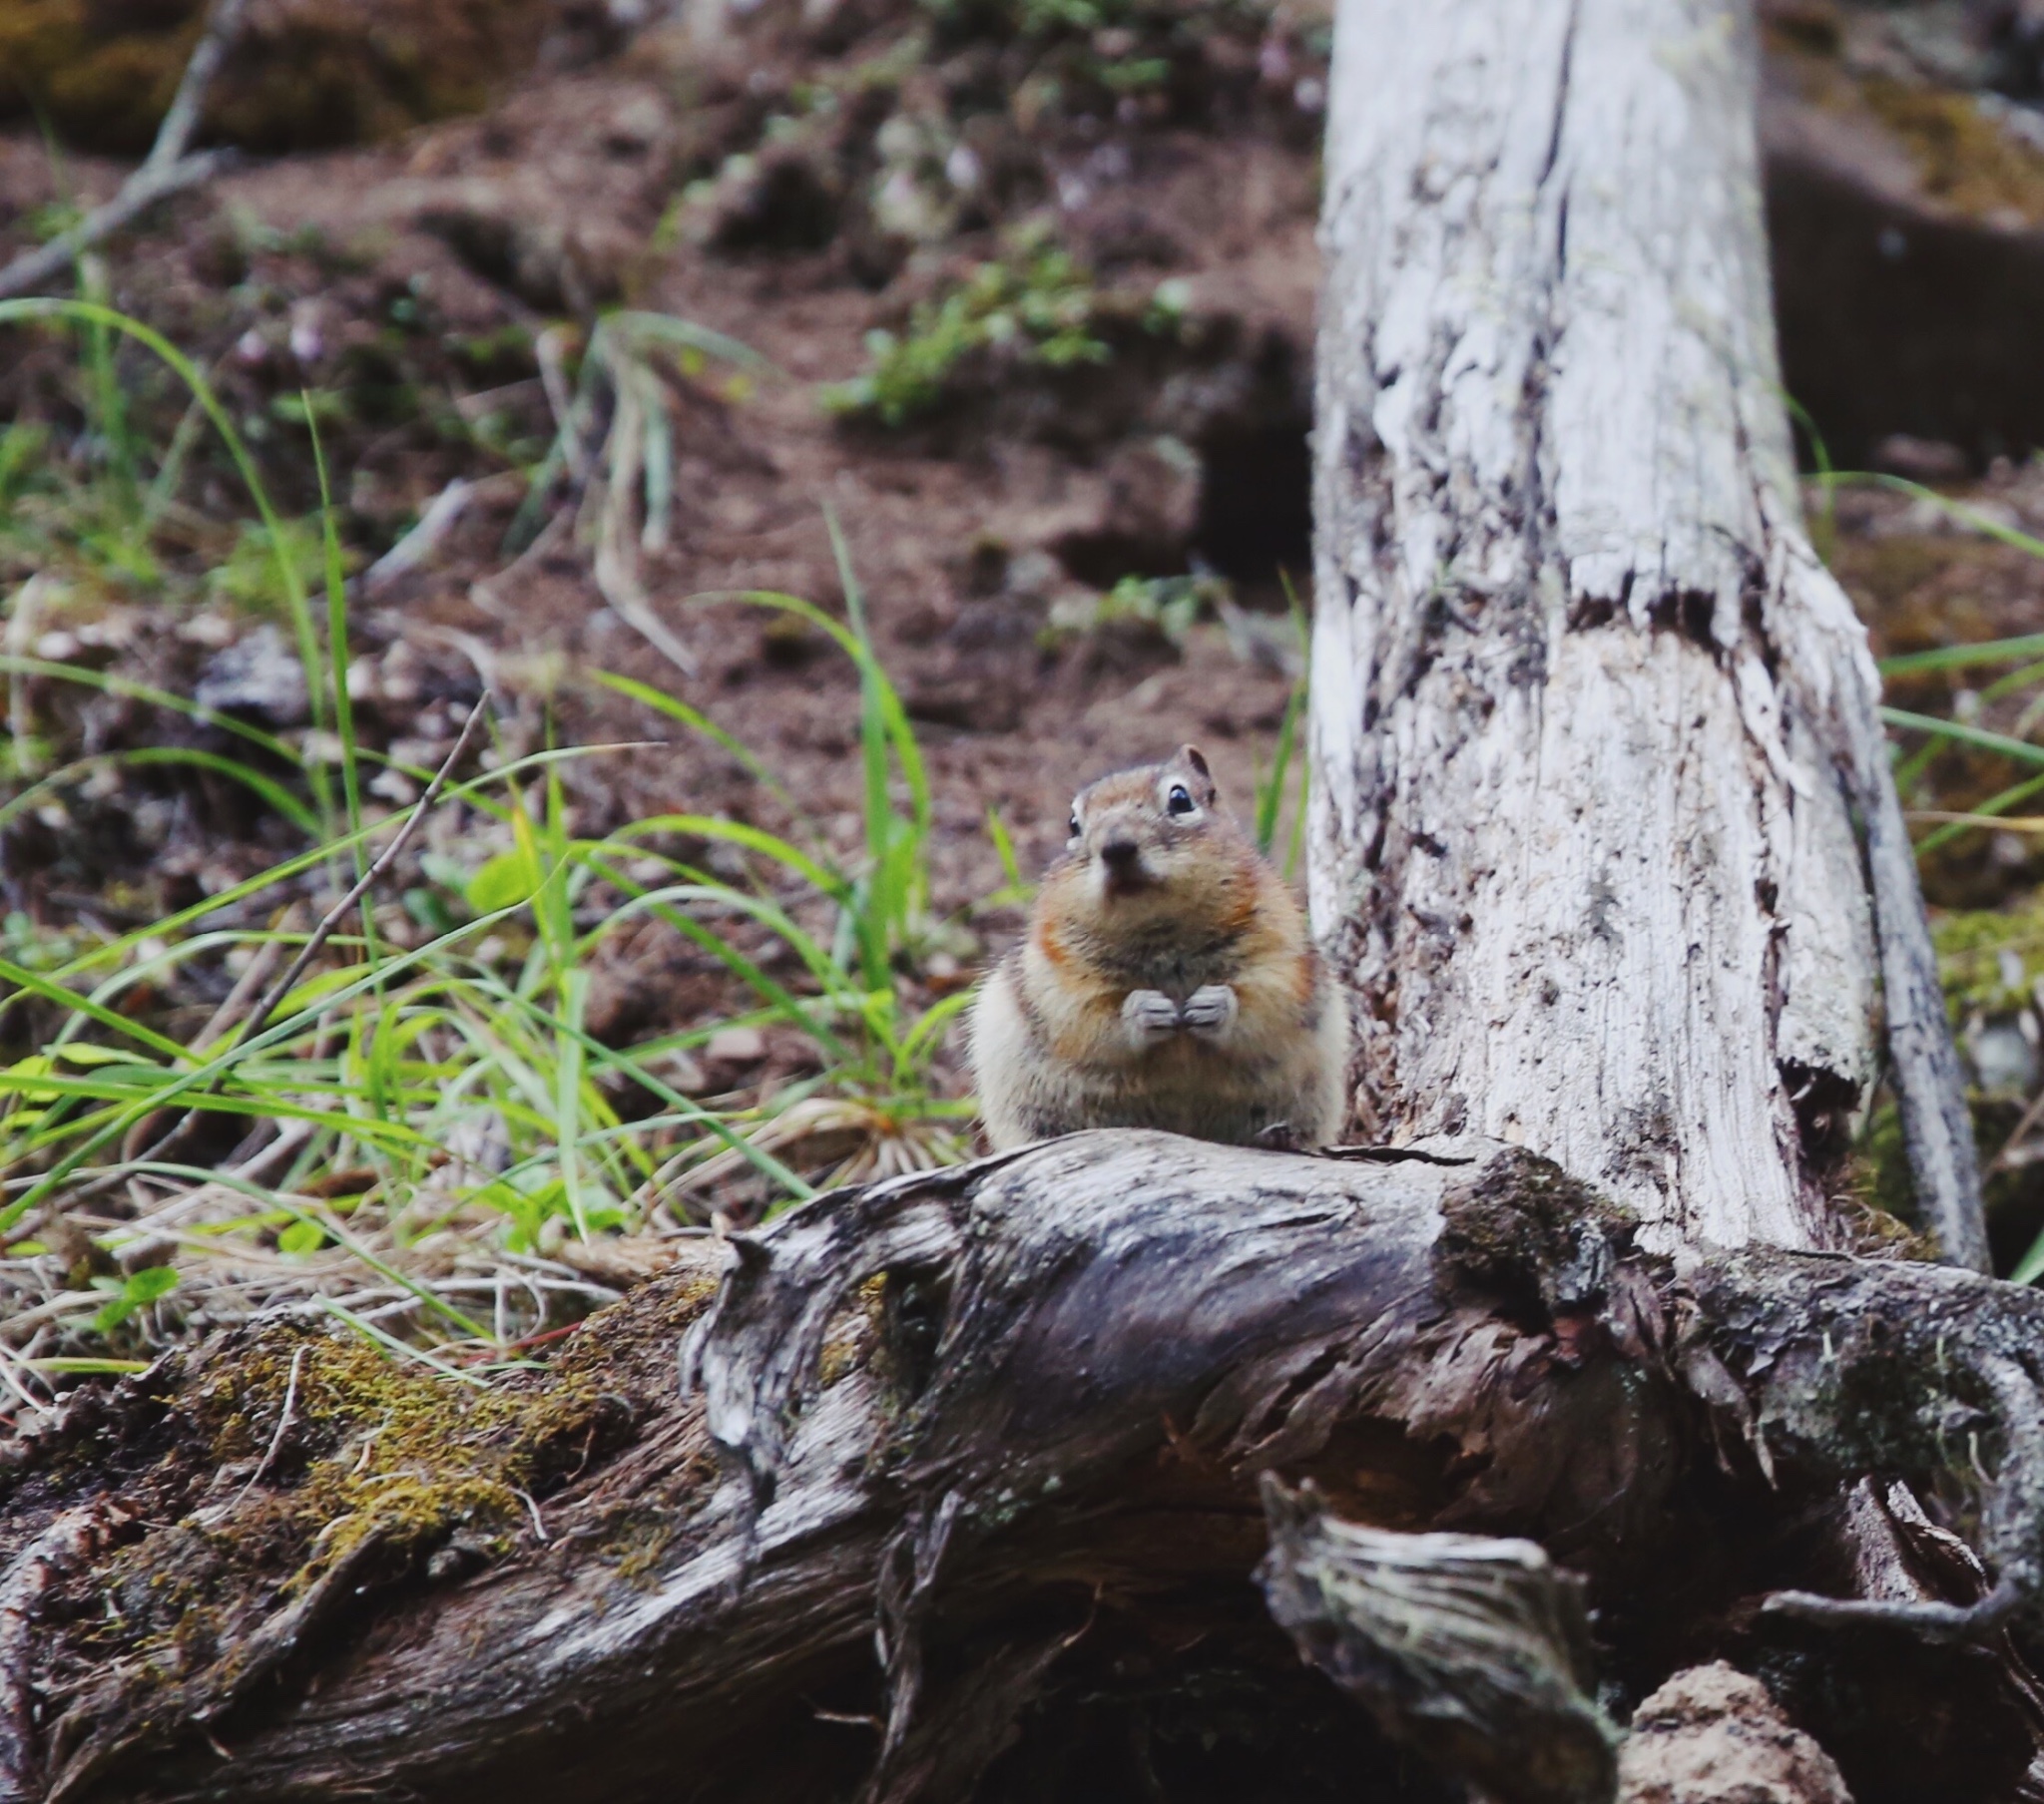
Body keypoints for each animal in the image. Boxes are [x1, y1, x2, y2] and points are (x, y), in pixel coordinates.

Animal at [964, 743, 1348, 1143]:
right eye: (1073, 824)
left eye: (1180, 799)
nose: (1116, 847)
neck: (1160, 933)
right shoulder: (1057, 973)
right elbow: (1087, 1018)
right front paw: (1144, 1010)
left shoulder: (1282, 955)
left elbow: (1267, 1003)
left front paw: (1215, 1005)